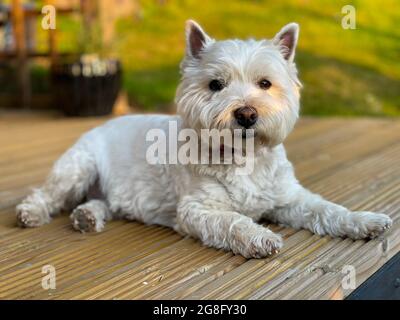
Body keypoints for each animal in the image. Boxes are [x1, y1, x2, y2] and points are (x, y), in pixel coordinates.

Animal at [15, 21, 390, 258]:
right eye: (215, 85)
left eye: (265, 83)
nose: (247, 114)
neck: (243, 159)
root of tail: (98, 125)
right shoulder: (196, 209)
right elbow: (233, 220)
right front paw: (259, 236)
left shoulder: (288, 198)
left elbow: (326, 209)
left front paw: (365, 221)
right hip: (79, 167)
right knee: (47, 194)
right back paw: (31, 213)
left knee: (102, 202)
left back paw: (87, 216)